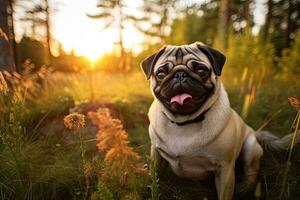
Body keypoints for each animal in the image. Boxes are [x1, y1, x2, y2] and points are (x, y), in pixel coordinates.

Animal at [141, 43, 262, 200]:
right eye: (161, 74)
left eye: (201, 70)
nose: (180, 75)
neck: (184, 122)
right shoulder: (156, 154)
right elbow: (154, 178)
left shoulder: (225, 168)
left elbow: (224, 194)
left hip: (250, 147)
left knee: (251, 171)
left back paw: (246, 188)